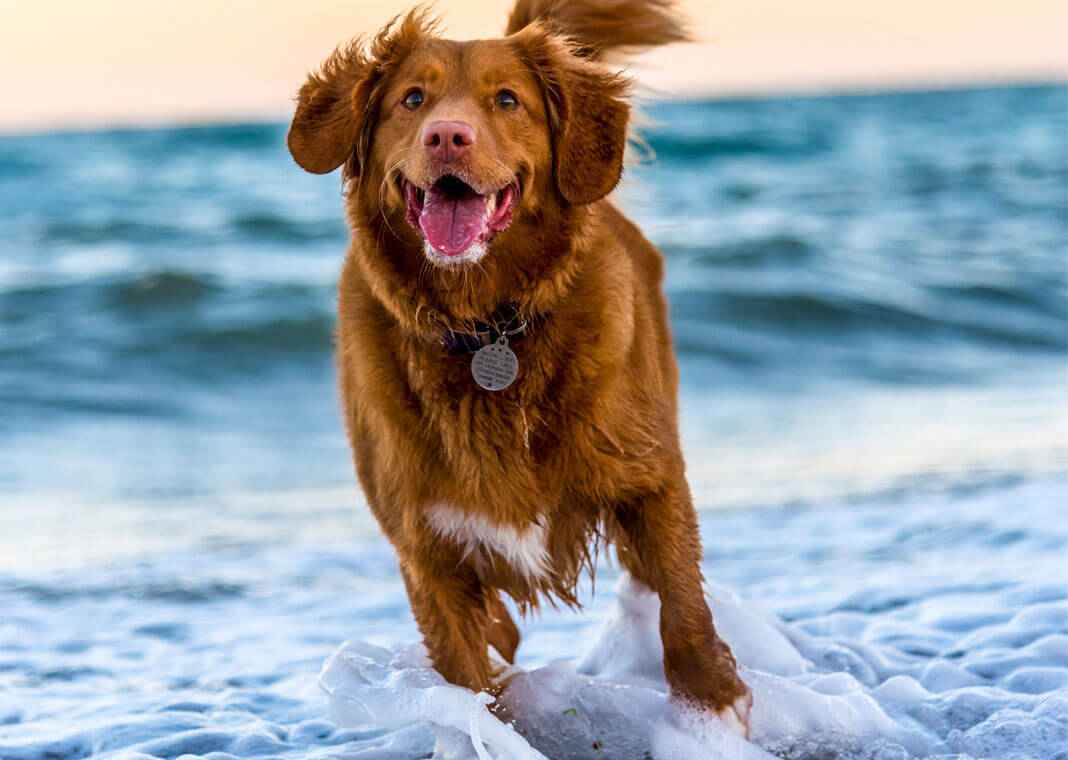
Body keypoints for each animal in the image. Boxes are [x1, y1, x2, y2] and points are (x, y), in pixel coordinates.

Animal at [286, 0, 751, 734]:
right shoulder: (426, 548)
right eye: (411, 100)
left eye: (507, 101)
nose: (447, 136)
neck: (486, 327)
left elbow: (681, 600)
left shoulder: (650, 476)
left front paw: (712, 699)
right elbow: (466, 675)